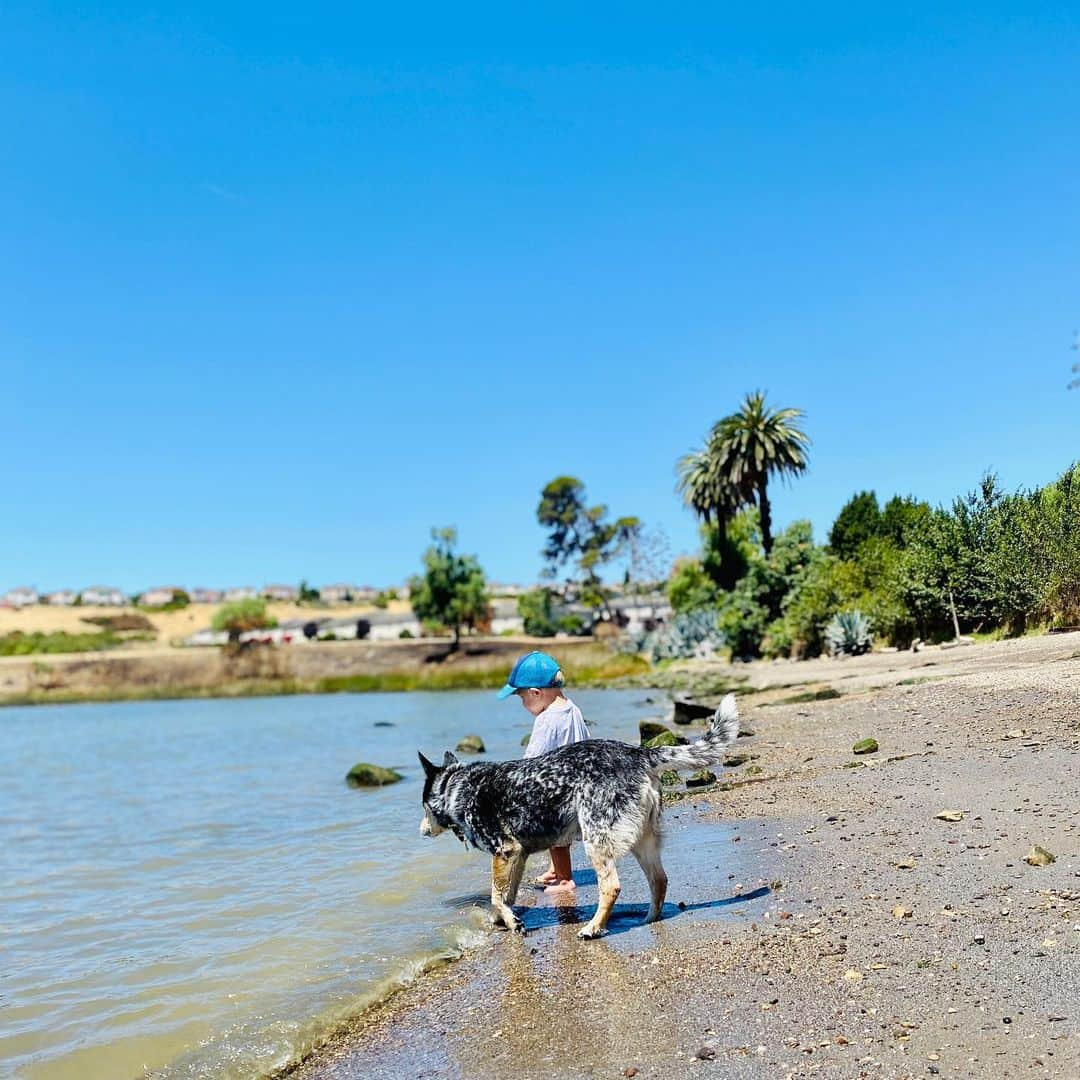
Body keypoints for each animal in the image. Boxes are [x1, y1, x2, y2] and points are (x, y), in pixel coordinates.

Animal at [416, 695, 738, 941]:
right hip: (642, 840)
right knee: (659, 879)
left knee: (611, 887)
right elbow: (506, 895)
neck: (456, 787)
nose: (420, 831)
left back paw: (593, 927)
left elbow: (496, 895)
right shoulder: (516, 855)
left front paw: (511, 921)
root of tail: (639, 753)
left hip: (596, 840)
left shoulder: (504, 850)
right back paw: (649, 918)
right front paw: (504, 919)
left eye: (423, 806)